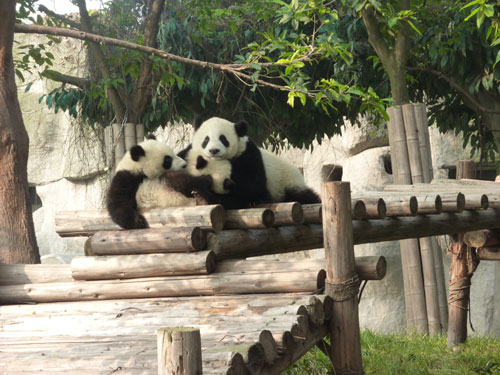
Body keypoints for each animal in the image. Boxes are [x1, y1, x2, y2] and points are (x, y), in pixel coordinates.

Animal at [180, 117, 320, 210]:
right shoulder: (189, 152)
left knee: (303, 196)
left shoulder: (248, 153)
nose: (214, 150)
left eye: (223, 139)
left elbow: (252, 183)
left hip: (288, 182)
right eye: (206, 140)